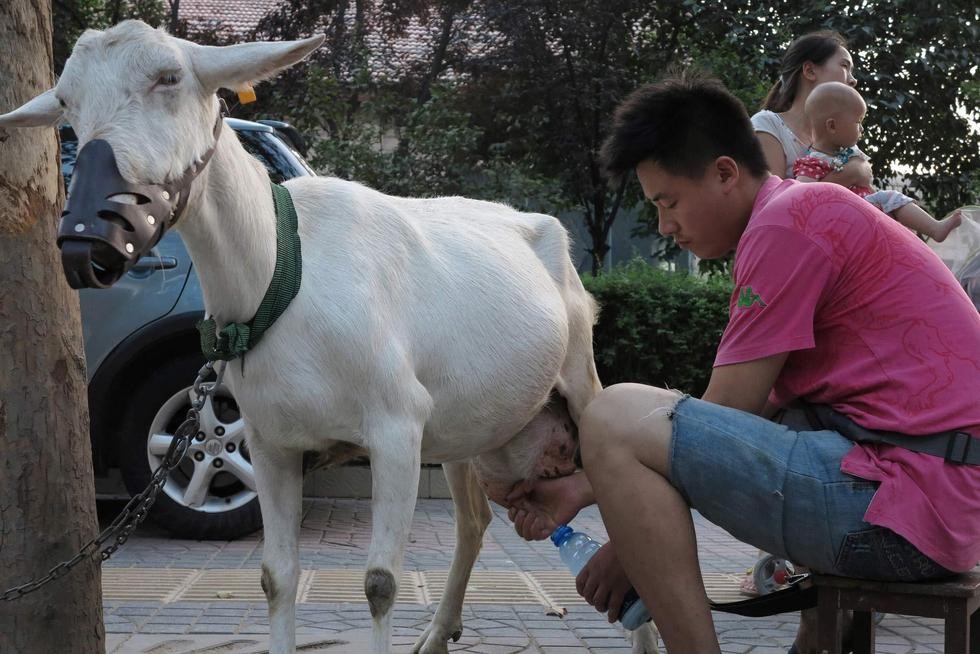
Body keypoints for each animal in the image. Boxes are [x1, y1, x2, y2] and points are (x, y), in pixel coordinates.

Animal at [0, 21, 659, 654]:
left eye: (169, 77)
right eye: (66, 102)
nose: (87, 243)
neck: (282, 270)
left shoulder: (396, 428)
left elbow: (381, 583)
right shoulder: (270, 442)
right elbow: (276, 576)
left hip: (579, 378)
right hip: (463, 431)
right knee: (474, 522)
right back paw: (437, 635)